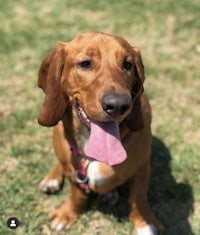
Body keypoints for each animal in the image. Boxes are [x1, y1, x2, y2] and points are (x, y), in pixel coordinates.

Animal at [37, 32, 162, 235]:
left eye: (127, 65)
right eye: (85, 63)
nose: (118, 105)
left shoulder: (142, 167)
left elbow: (138, 198)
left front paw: (144, 222)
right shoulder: (74, 173)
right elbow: (77, 194)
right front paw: (68, 213)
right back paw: (52, 179)